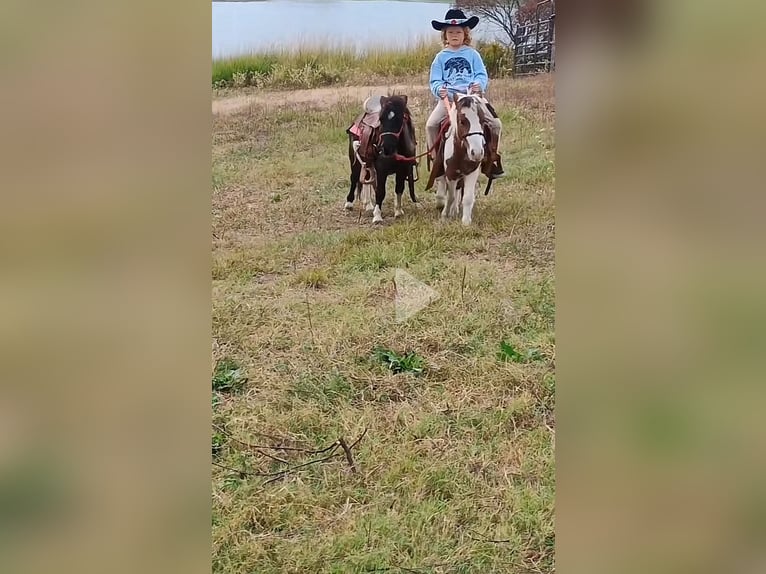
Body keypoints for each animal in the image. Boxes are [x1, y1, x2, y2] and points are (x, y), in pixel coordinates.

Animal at [346, 95, 420, 224]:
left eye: (400, 118)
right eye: (380, 119)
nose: (386, 147)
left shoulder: (402, 170)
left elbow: (399, 188)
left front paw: (398, 211)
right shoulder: (382, 170)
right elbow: (380, 191)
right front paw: (377, 216)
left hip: (368, 162)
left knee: (367, 179)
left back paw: (368, 205)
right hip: (354, 160)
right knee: (354, 178)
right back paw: (349, 203)